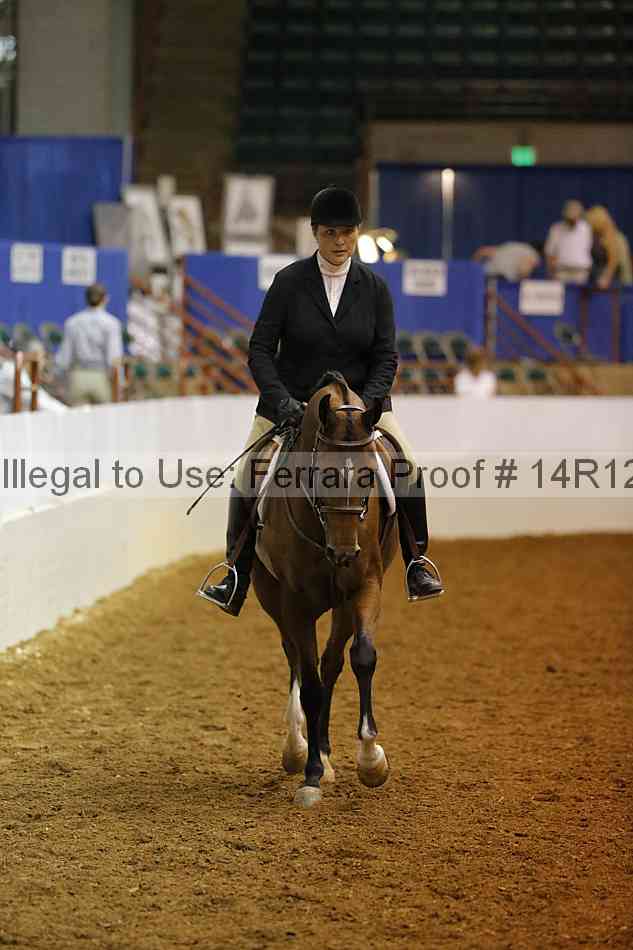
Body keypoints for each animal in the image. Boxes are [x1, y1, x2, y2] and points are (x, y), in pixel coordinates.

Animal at [251, 371, 399, 807]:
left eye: (369, 475)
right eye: (322, 476)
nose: (344, 552)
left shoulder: (365, 586)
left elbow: (362, 658)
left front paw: (371, 760)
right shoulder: (295, 604)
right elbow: (311, 684)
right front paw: (311, 774)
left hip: (342, 606)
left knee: (331, 663)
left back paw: (327, 753)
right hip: (272, 597)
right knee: (297, 661)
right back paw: (299, 748)